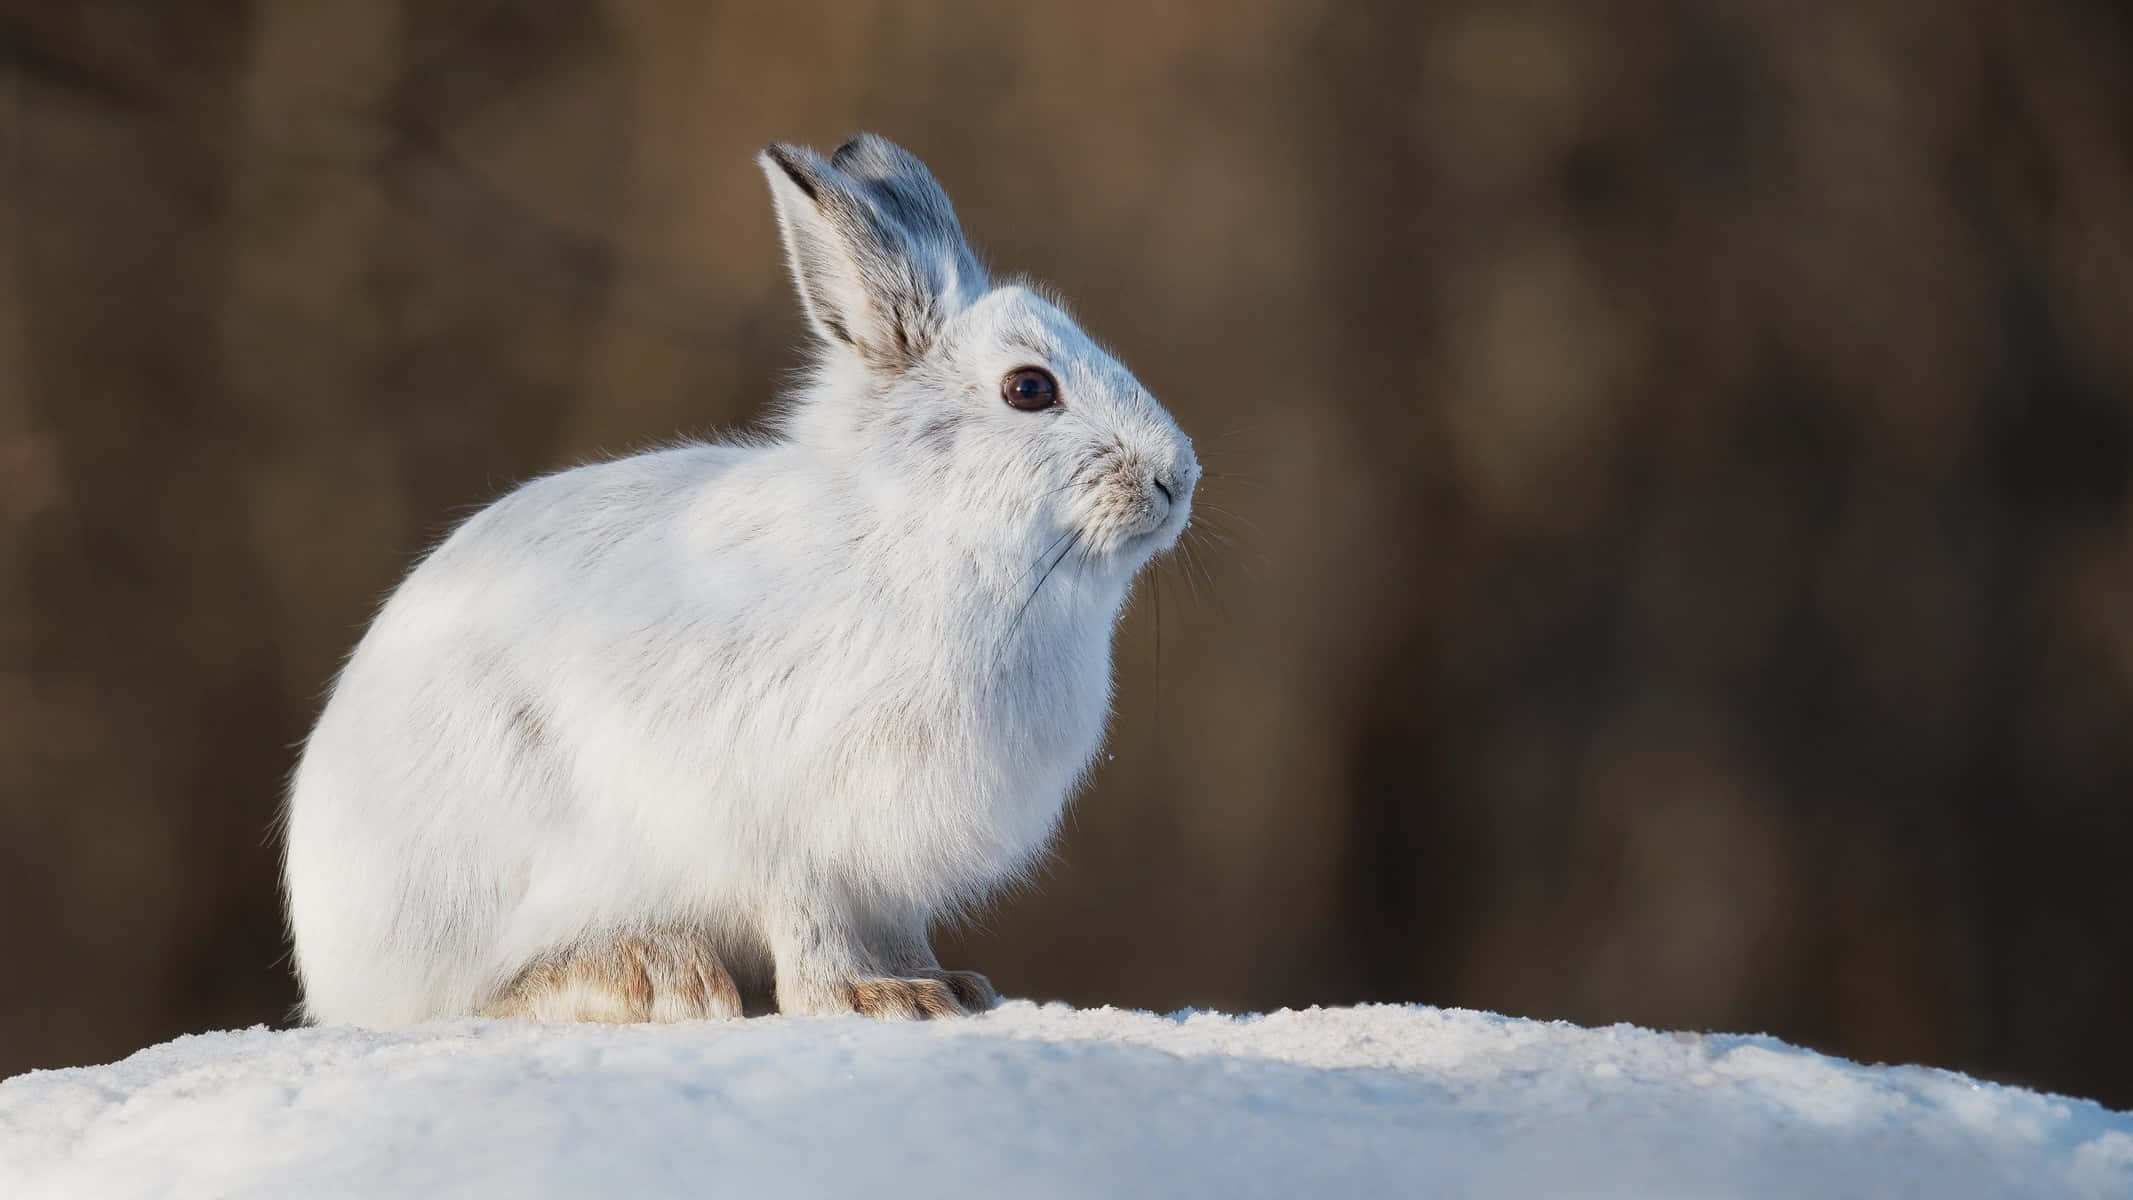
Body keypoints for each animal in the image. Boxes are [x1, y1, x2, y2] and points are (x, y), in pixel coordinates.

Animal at [281, 133, 1198, 1026]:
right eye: (1029, 388)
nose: (1176, 479)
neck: (926, 529)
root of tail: (331, 962)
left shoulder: (888, 875)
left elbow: (894, 929)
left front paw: (944, 987)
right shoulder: (784, 835)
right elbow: (808, 924)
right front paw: (865, 999)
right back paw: (649, 978)